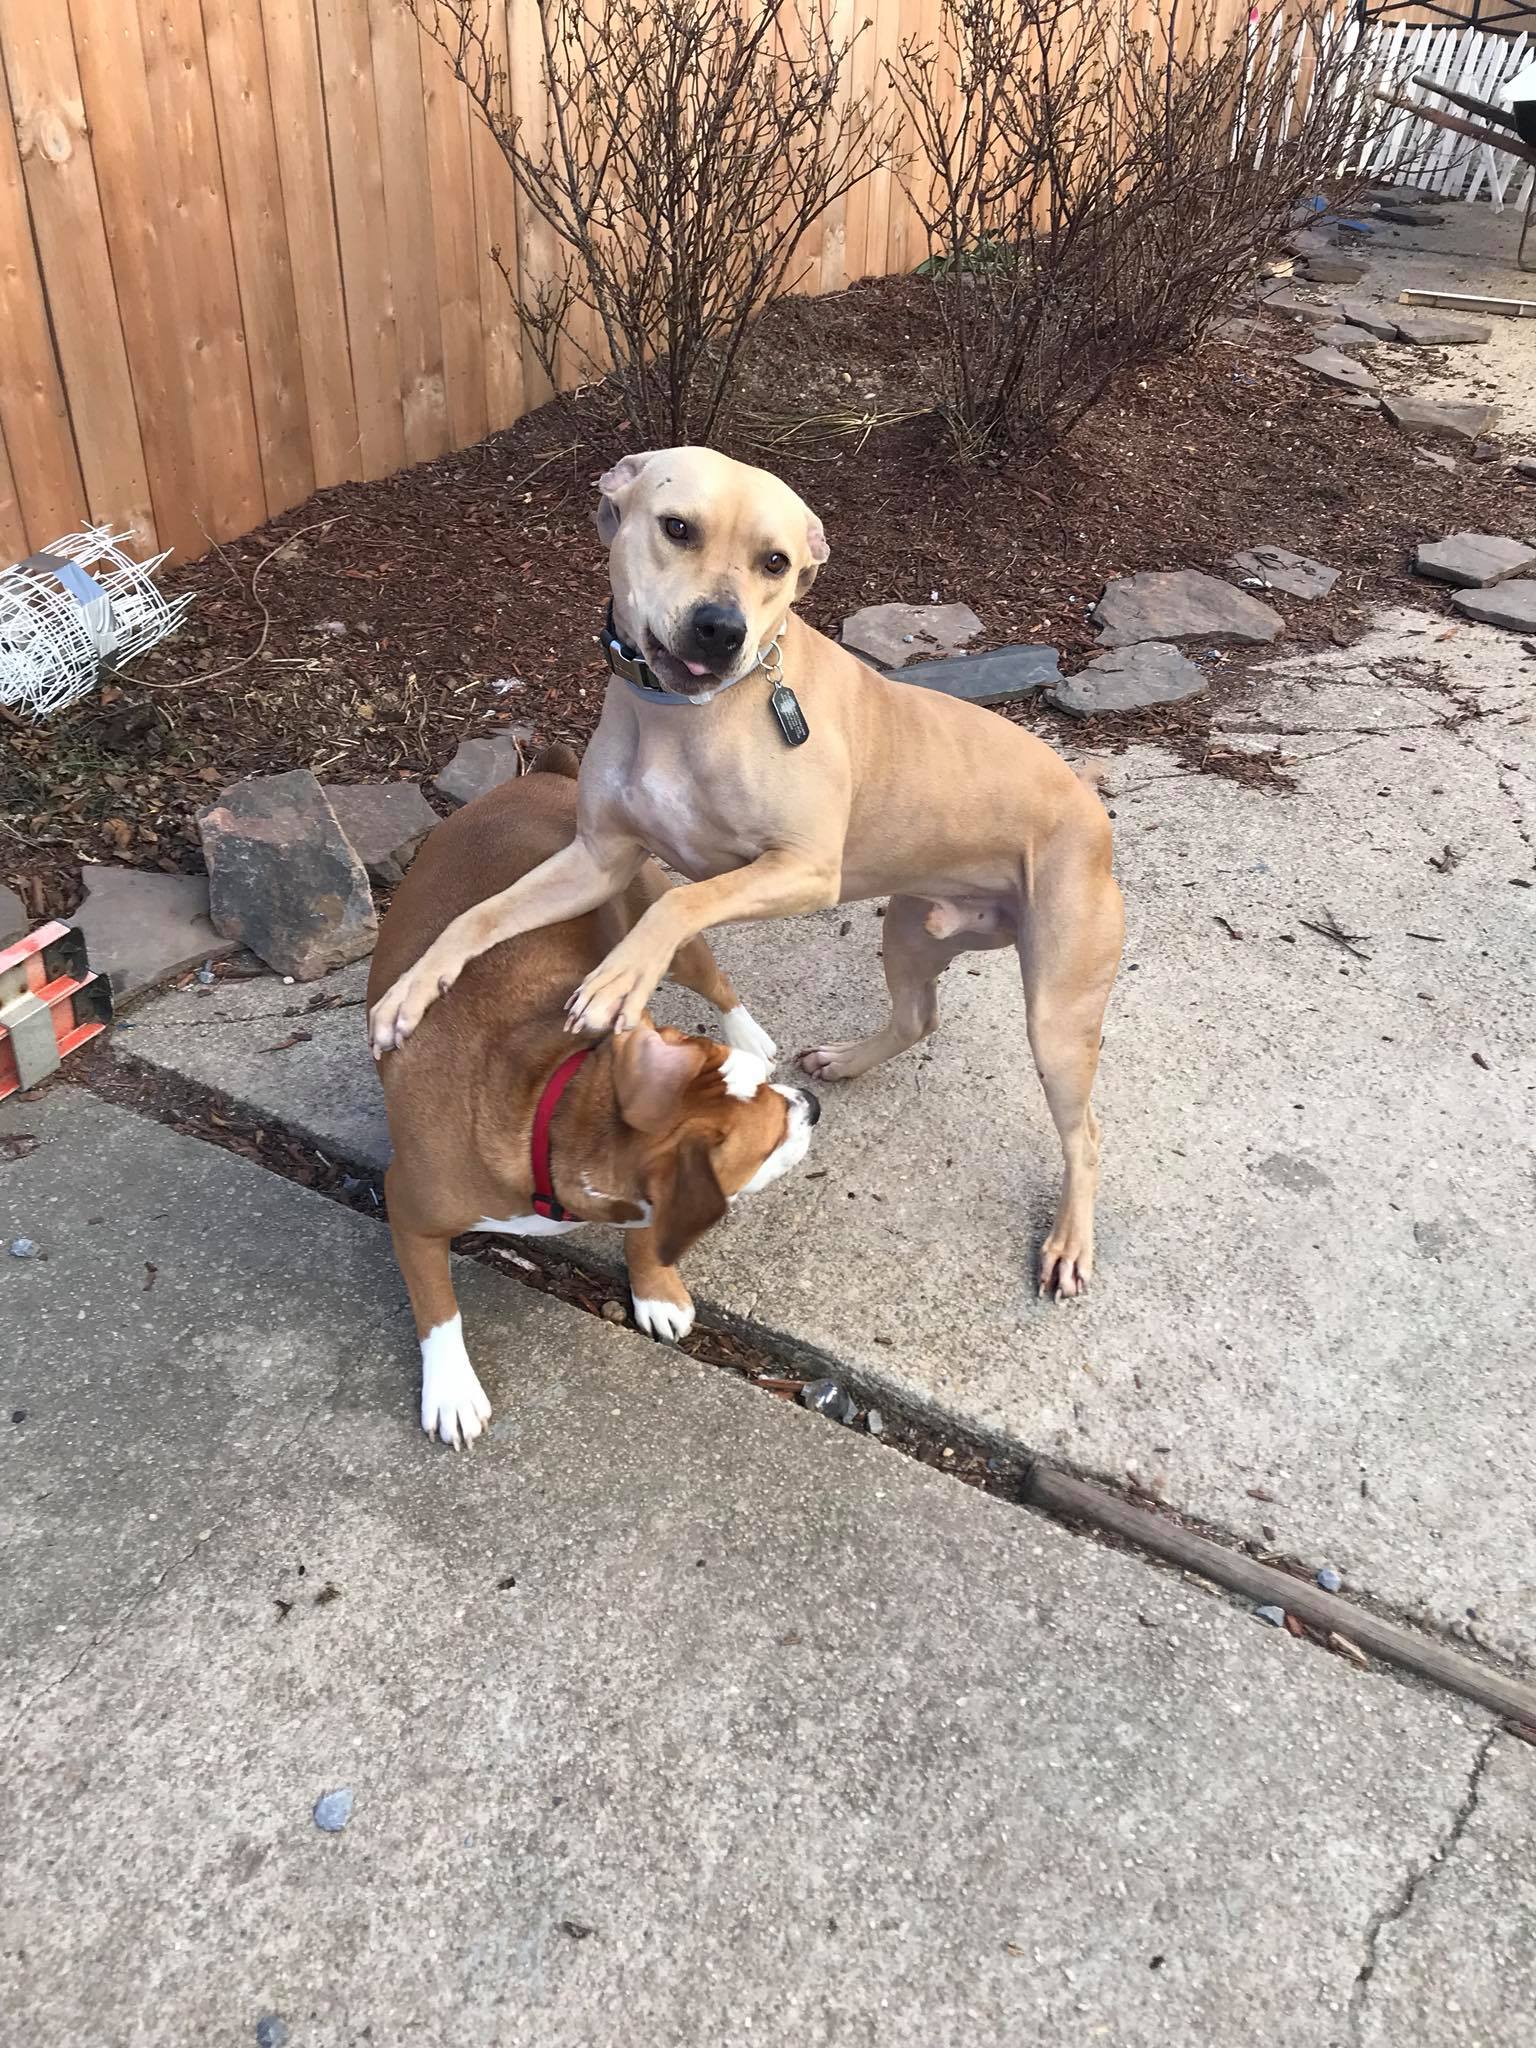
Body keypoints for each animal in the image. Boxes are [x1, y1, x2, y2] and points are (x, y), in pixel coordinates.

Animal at [368, 746, 819, 1448]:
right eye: (770, 1143)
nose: (812, 1106)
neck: (553, 1109)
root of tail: (545, 776)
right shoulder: (410, 1210)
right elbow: (437, 1308)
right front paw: (450, 1389)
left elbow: (646, 1234)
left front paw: (654, 1290)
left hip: (664, 932)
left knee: (717, 983)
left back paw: (747, 1031)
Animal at [369, 448, 1123, 1298]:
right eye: (676, 528)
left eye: (776, 563)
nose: (720, 628)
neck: (680, 716)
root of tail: (1089, 805)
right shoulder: (595, 859)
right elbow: (481, 915)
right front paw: (411, 992)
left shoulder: (798, 869)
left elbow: (677, 906)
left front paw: (617, 982)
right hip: (909, 934)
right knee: (915, 1018)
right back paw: (847, 1061)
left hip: (1057, 1017)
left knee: (1086, 1135)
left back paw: (1069, 1242)